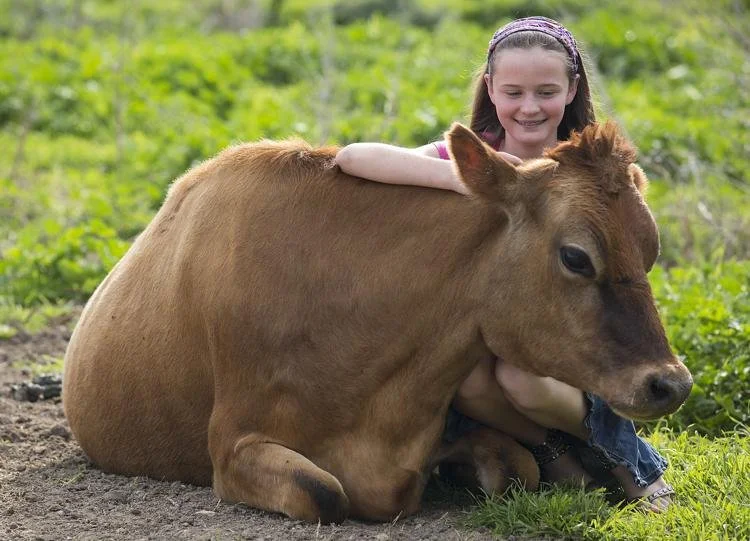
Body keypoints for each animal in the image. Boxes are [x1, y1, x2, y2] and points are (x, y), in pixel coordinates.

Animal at [63, 121, 692, 524]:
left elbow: (519, 469)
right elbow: (325, 493)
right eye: (576, 257)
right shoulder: (234, 446)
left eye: (651, 251)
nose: (672, 382)